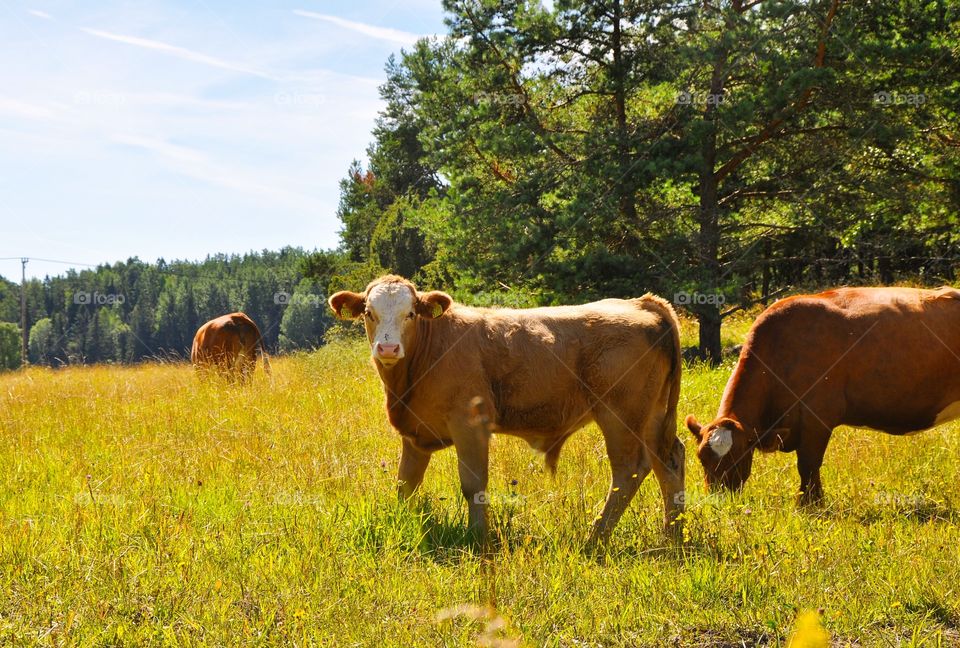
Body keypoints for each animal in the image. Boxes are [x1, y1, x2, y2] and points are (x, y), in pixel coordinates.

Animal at [330, 276, 684, 544]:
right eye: (368, 312)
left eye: (411, 314)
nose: (388, 347)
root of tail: (641, 302)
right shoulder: (415, 431)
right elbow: (406, 484)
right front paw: (402, 523)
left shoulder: (469, 424)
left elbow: (473, 484)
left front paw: (477, 537)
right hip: (652, 417)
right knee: (669, 463)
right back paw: (673, 536)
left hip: (620, 415)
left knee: (629, 470)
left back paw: (594, 538)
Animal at [688, 286, 960, 504]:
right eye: (701, 458)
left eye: (738, 458)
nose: (718, 500)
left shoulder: (817, 418)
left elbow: (808, 464)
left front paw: (810, 504)